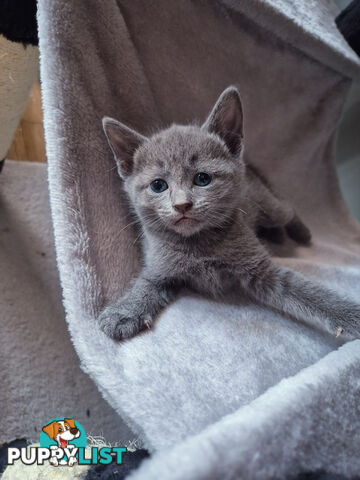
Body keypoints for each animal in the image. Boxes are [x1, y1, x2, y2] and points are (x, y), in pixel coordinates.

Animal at [99, 86, 360, 342]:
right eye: (158, 185)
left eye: (202, 179)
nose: (182, 205)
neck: (198, 244)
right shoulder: (159, 266)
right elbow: (146, 283)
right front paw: (124, 311)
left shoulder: (261, 269)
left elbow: (308, 293)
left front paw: (350, 315)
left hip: (271, 207)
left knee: (288, 208)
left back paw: (301, 233)